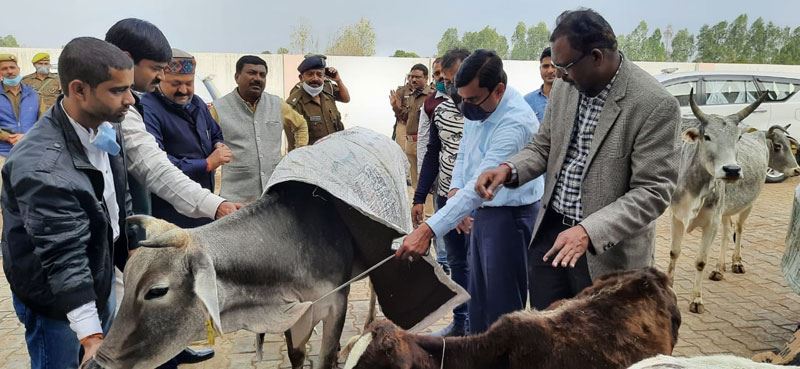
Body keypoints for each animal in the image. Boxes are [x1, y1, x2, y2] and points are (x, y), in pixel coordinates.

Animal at [664, 90, 796, 312]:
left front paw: (696, 299)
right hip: (725, 210)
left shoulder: (711, 222)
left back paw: (736, 262)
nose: (732, 170)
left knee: (739, 230)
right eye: (707, 136)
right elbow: (674, 253)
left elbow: (700, 261)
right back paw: (719, 268)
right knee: (727, 231)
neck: (695, 187)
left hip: (747, 205)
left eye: (738, 137)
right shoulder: (676, 217)